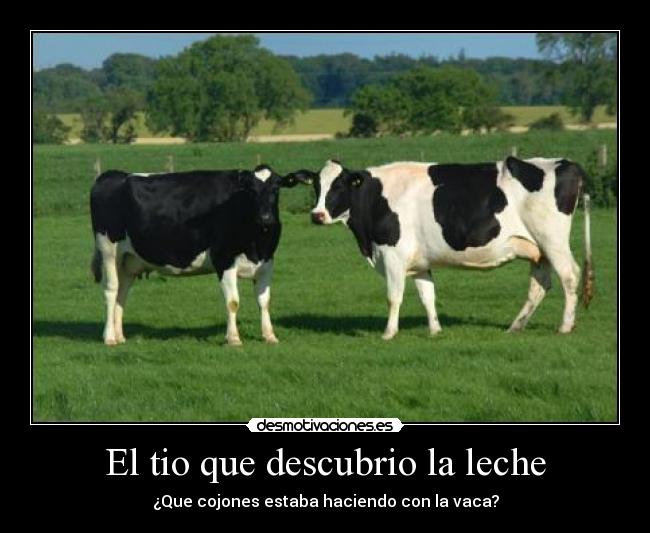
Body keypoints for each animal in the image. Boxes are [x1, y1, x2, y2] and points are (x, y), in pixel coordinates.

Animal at [90, 165, 303, 346]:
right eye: (251, 190)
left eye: (276, 189)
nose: (265, 218)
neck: (256, 242)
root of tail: (112, 175)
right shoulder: (224, 260)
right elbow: (233, 302)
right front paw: (233, 339)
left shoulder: (267, 262)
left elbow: (264, 301)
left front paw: (269, 335)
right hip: (108, 251)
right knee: (111, 290)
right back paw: (109, 337)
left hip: (128, 260)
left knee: (122, 292)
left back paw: (120, 336)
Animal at [287, 158, 593, 339]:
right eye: (316, 186)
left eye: (339, 186)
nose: (317, 215)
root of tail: (564, 163)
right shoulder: (420, 261)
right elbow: (428, 296)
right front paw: (435, 330)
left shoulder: (393, 255)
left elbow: (393, 297)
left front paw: (389, 333)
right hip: (537, 249)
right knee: (540, 285)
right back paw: (515, 326)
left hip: (553, 241)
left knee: (569, 276)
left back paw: (565, 326)